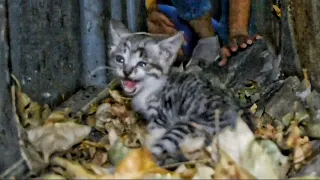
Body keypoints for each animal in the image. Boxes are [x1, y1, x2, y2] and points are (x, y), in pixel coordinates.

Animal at [107, 19, 250, 163]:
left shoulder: (160, 117)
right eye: (120, 59)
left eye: (143, 64)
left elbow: (153, 134)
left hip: (187, 127)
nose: (126, 72)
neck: (150, 88)